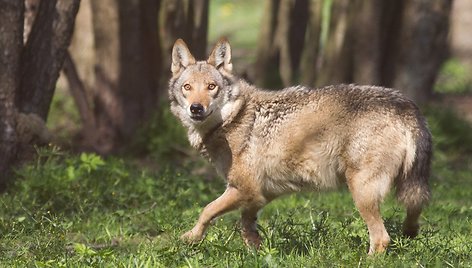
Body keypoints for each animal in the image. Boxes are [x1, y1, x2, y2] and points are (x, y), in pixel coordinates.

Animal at [169, 37, 432, 253]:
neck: (232, 119)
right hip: (409, 188)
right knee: (413, 215)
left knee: (381, 239)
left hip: (362, 192)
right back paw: (409, 233)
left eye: (211, 87)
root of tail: (405, 105)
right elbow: (246, 226)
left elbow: (206, 210)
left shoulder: (244, 189)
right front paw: (258, 253)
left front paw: (190, 238)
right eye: (187, 87)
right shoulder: (260, 195)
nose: (196, 108)